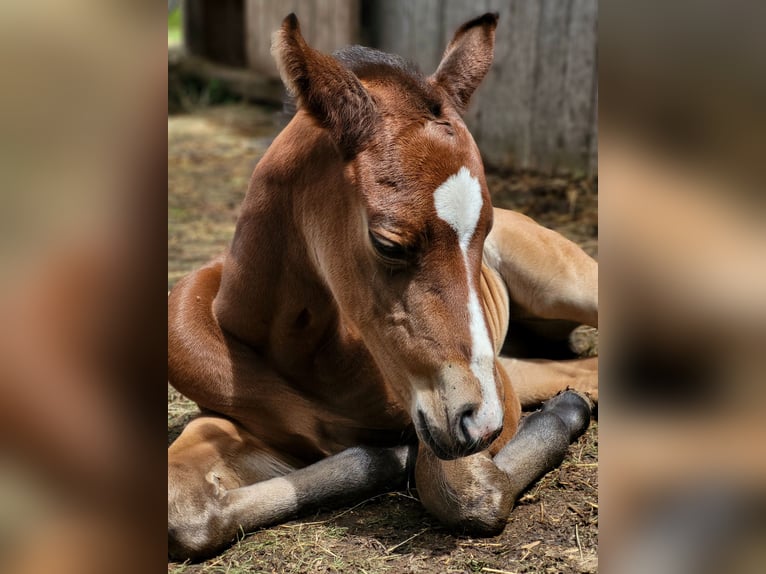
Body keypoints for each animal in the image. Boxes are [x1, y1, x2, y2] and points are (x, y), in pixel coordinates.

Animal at [168, 12, 598, 560]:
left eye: (486, 229)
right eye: (388, 243)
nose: (480, 422)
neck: (303, 356)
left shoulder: (475, 400)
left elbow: (466, 491)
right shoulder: (233, 422)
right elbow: (184, 510)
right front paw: (385, 457)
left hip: (567, 286)